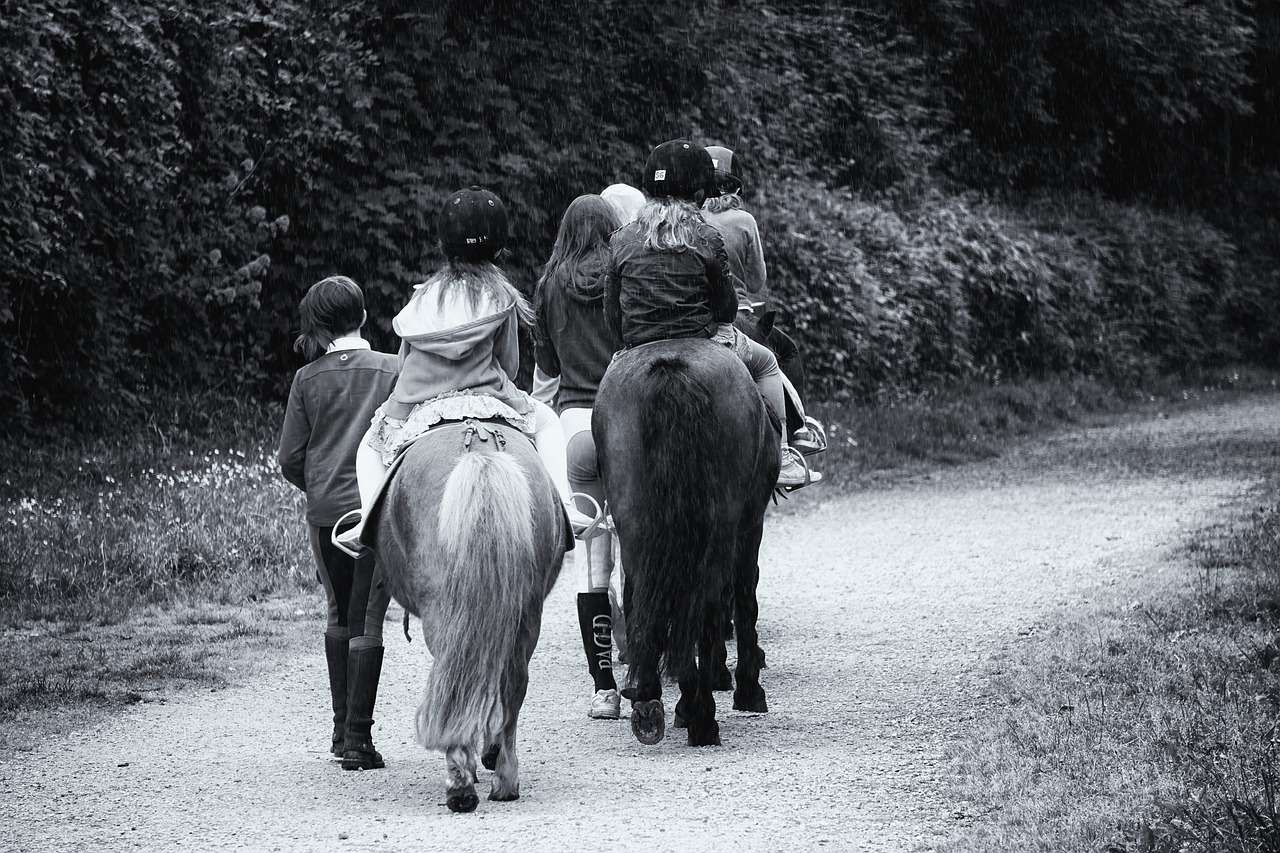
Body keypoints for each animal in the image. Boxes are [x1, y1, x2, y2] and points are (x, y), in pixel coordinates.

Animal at [373, 417, 568, 809]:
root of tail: (481, 451)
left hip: (445, 613)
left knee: (456, 673)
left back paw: (461, 782)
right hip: (527, 613)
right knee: (512, 683)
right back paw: (505, 780)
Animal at [591, 338, 778, 742]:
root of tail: (671, 368)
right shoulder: (749, 526)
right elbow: (744, 598)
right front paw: (746, 688)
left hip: (635, 522)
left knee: (639, 593)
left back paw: (648, 699)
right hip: (722, 525)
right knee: (708, 599)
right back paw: (701, 716)